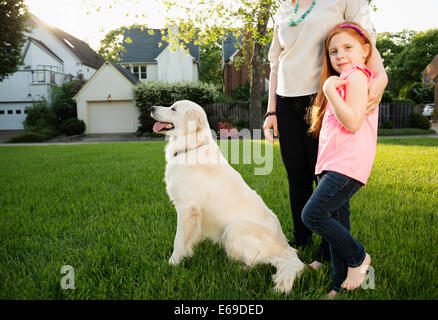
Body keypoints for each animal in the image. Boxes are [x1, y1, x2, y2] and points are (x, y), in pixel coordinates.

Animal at [151, 100, 304, 296]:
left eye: (173, 109)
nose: (152, 108)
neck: (191, 147)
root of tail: (287, 249)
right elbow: (189, 239)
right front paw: (187, 254)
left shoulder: (187, 210)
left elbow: (179, 241)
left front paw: (172, 264)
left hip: (233, 228)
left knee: (258, 262)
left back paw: (240, 269)